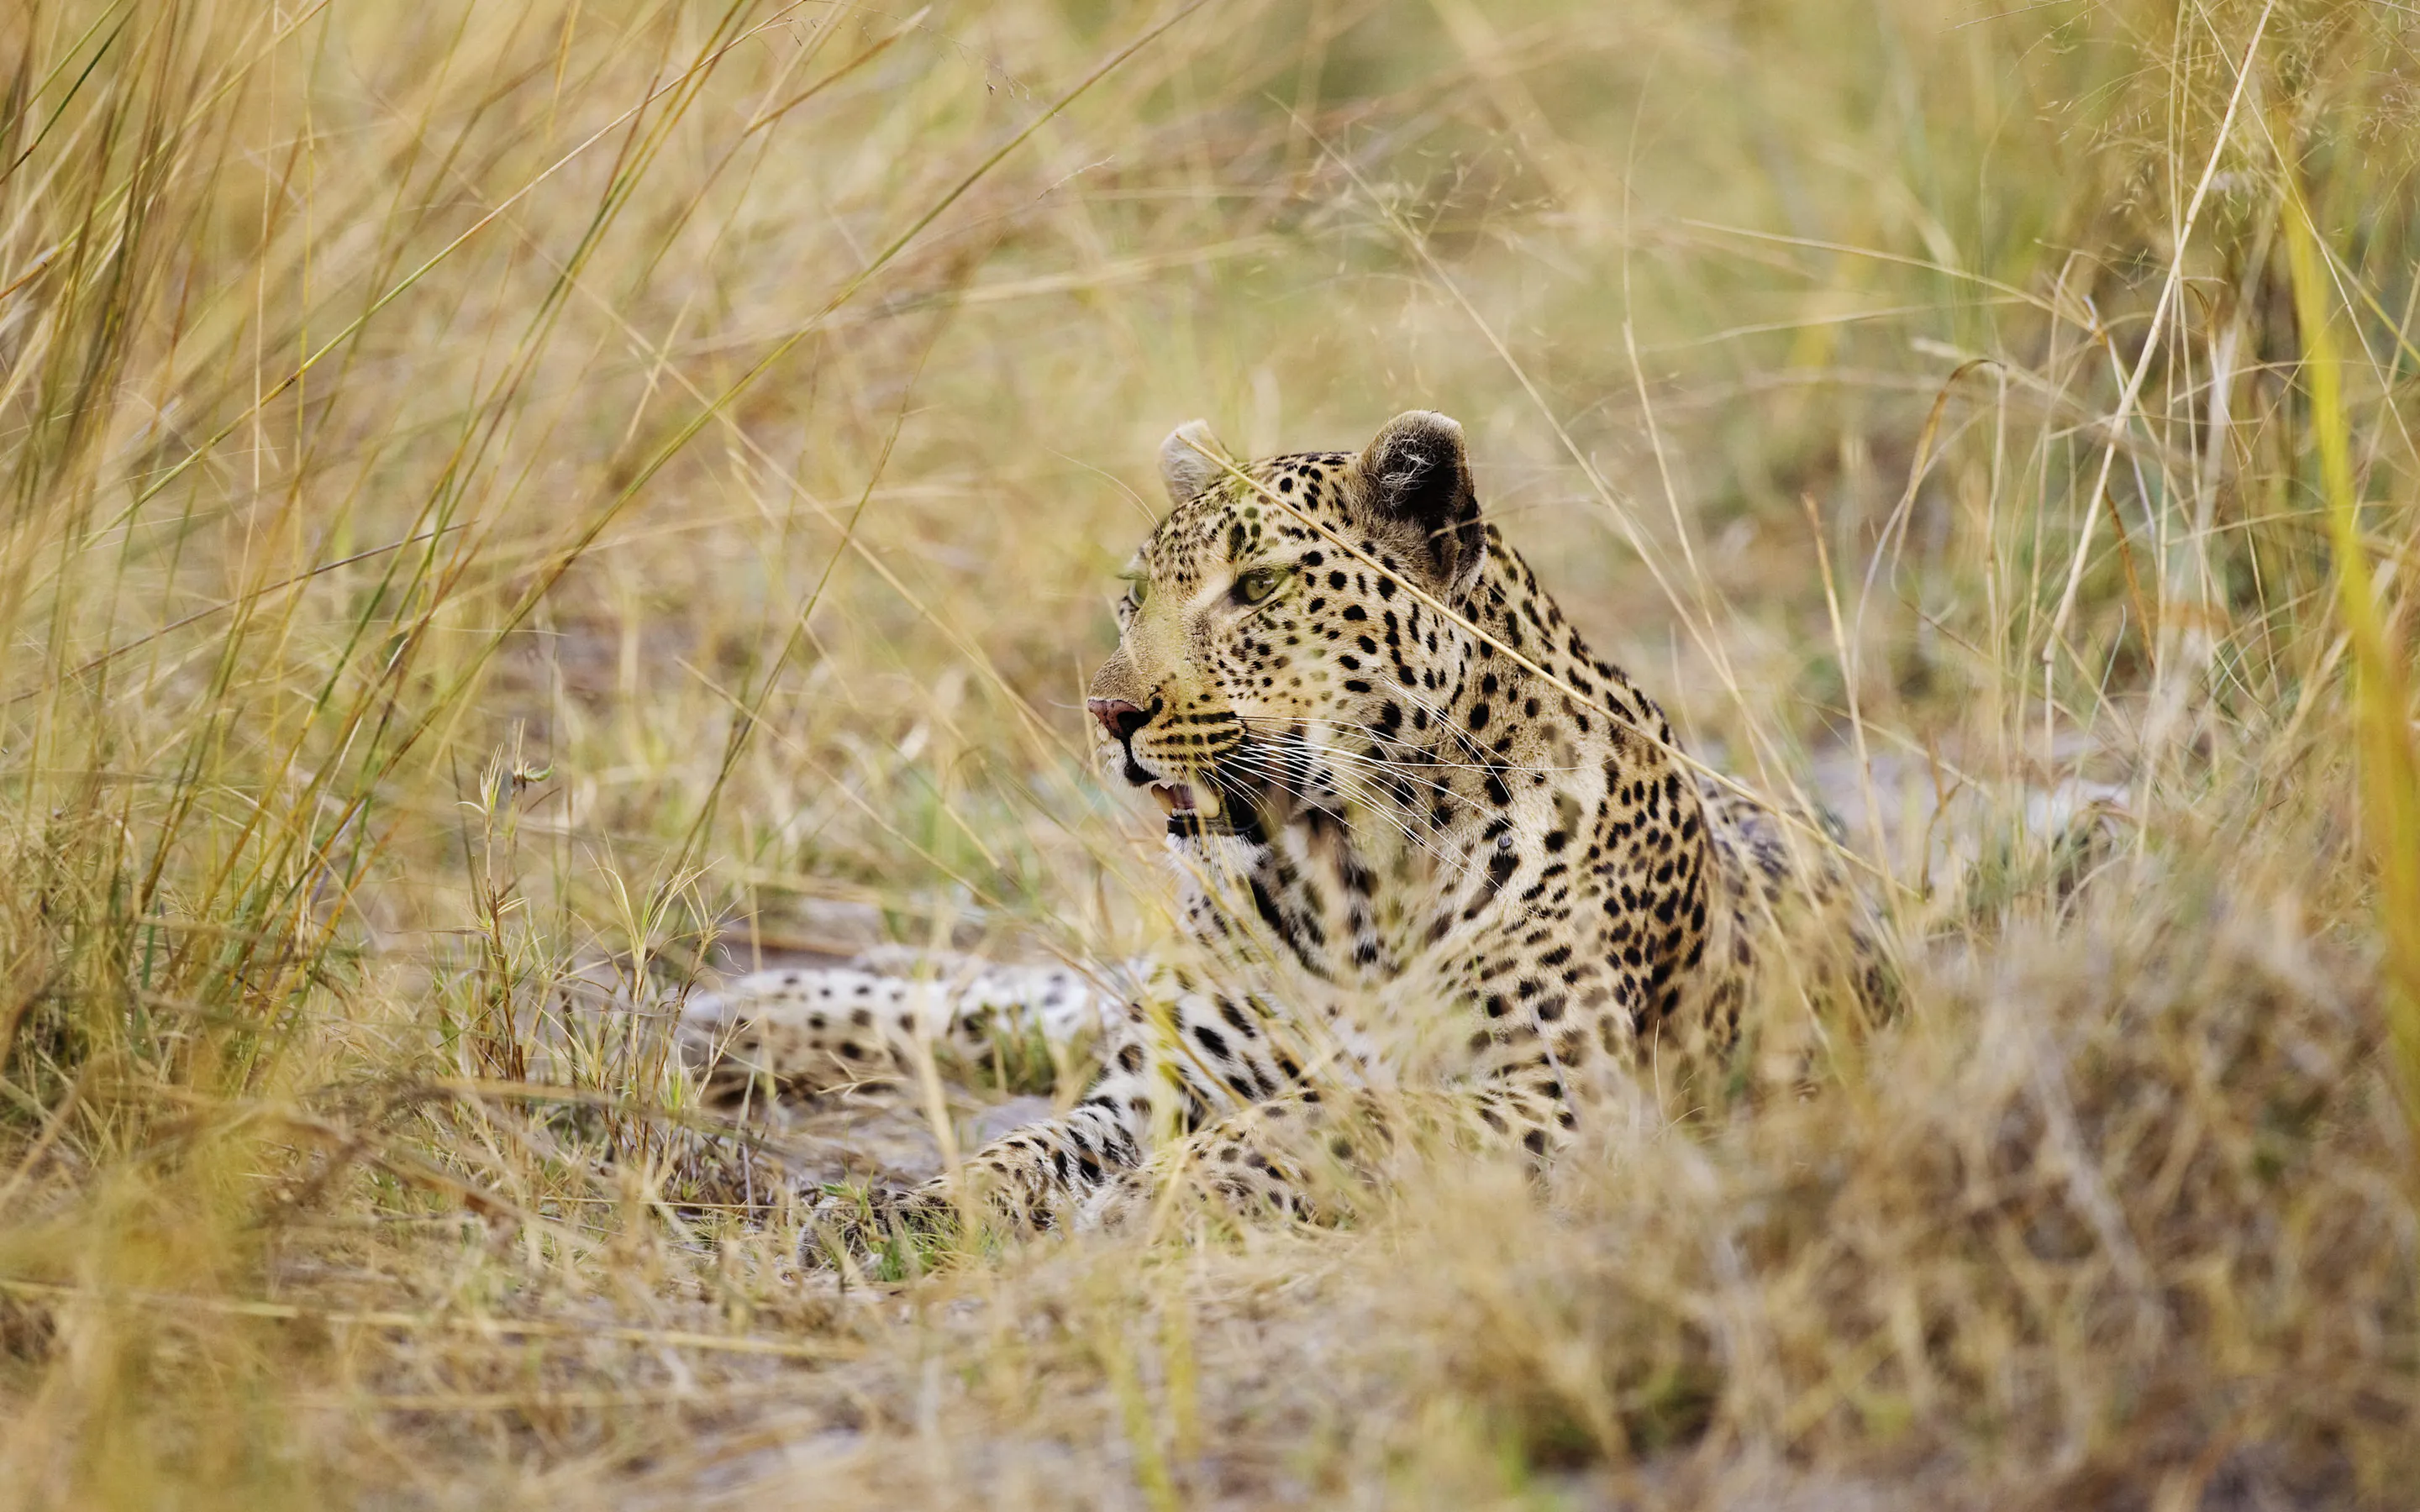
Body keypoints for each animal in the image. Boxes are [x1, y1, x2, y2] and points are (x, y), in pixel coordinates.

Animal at [681, 410, 1875, 1255]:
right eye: (1134, 598)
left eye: (1255, 587)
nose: (1107, 713)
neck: (1346, 875)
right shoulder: (1162, 1087)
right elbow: (1030, 1144)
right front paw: (911, 1206)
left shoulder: (1569, 1091)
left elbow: (1347, 1115)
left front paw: (1158, 1199)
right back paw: (749, 1012)